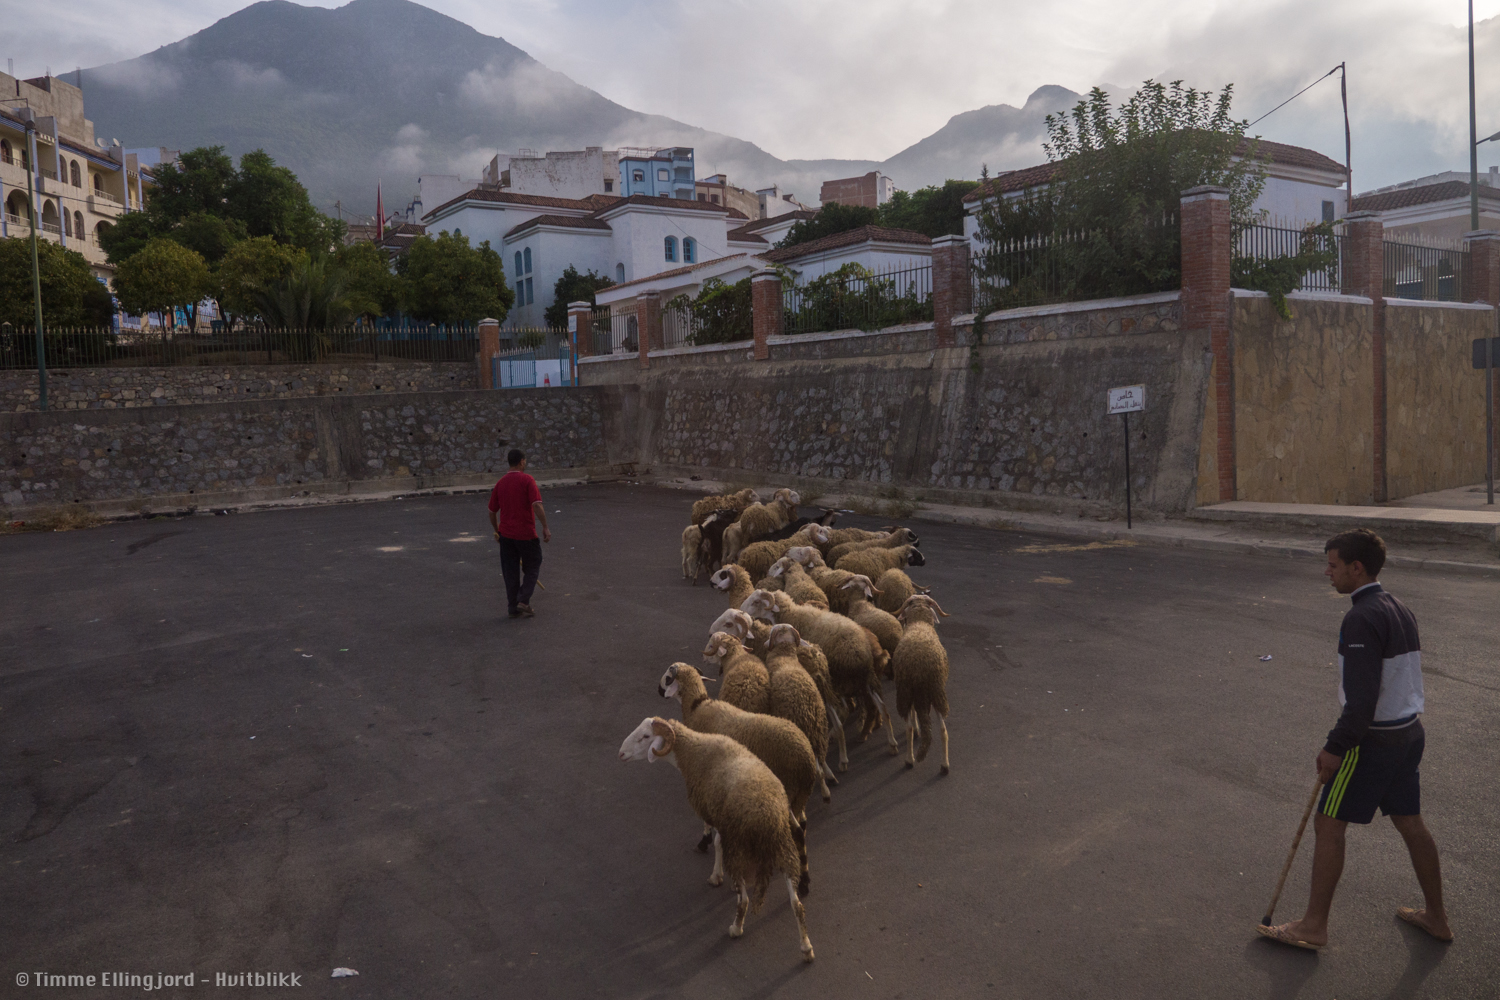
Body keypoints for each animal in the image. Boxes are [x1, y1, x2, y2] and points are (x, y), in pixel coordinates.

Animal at [615, 719, 816, 959]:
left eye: (645, 737)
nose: (621, 753)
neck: (692, 752)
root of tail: (768, 814)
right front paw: (722, 878)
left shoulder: (718, 817)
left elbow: (718, 843)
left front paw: (716, 877)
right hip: (783, 846)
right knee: (796, 904)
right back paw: (806, 946)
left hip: (741, 845)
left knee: (745, 900)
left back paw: (736, 928)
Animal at [888, 593, 948, 773]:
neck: (920, 623)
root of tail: (921, 666)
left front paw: (916, 728)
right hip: (937, 692)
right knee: (943, 728)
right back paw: (945, 765)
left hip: (905, 691)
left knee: (908, 726)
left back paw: (909, 760)